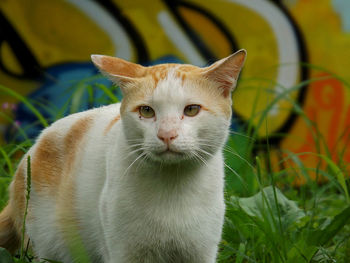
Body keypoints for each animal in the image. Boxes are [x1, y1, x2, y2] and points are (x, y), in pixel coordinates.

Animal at [0, 50, 246, 263]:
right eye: (146, 111)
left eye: (192, 110)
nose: (166, 134)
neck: (173, 186)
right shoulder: (124, 253)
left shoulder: (200, 253)